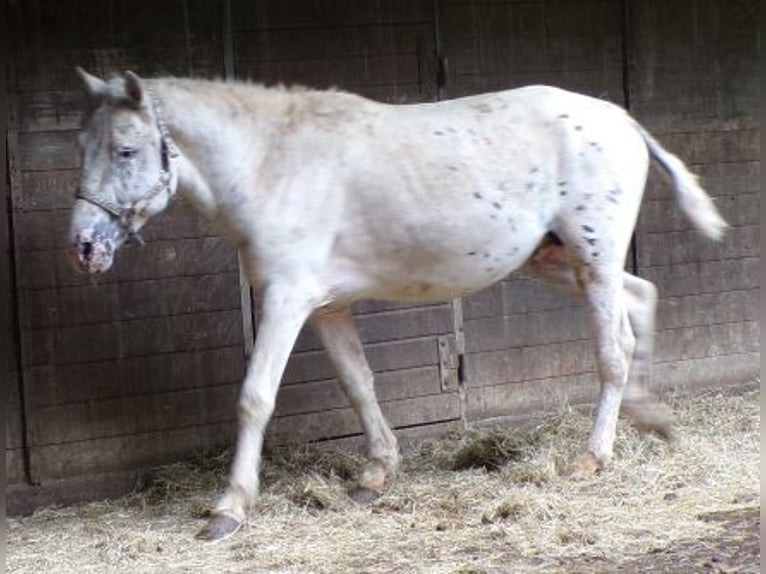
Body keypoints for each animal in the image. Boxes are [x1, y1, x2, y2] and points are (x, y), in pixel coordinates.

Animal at [68, 68, 727, 541]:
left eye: (125, 151)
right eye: (83, 145)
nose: (84, 248)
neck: (273, 165)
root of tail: (620, 117)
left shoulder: (286, 300)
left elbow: (255, 399)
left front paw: (228, 509)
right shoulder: (326, 308)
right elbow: (360, 385)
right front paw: (376, 475)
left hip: (593, 259)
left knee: (613, 350)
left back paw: (593, 456)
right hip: (560, 262)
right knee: (640, 301)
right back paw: (653, 418)